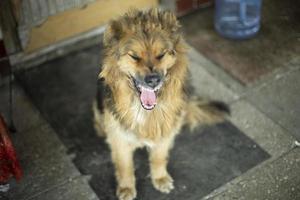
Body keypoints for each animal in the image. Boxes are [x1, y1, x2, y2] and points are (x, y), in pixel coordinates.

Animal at [92, 8, 229, 200]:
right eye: (134, 56)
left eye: (161, 54)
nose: (153, 80)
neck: (147, 110)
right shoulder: (120, 139)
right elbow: (125, 166)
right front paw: (126, 187)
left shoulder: (165, 132)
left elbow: (159, 158)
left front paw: (160, 178)